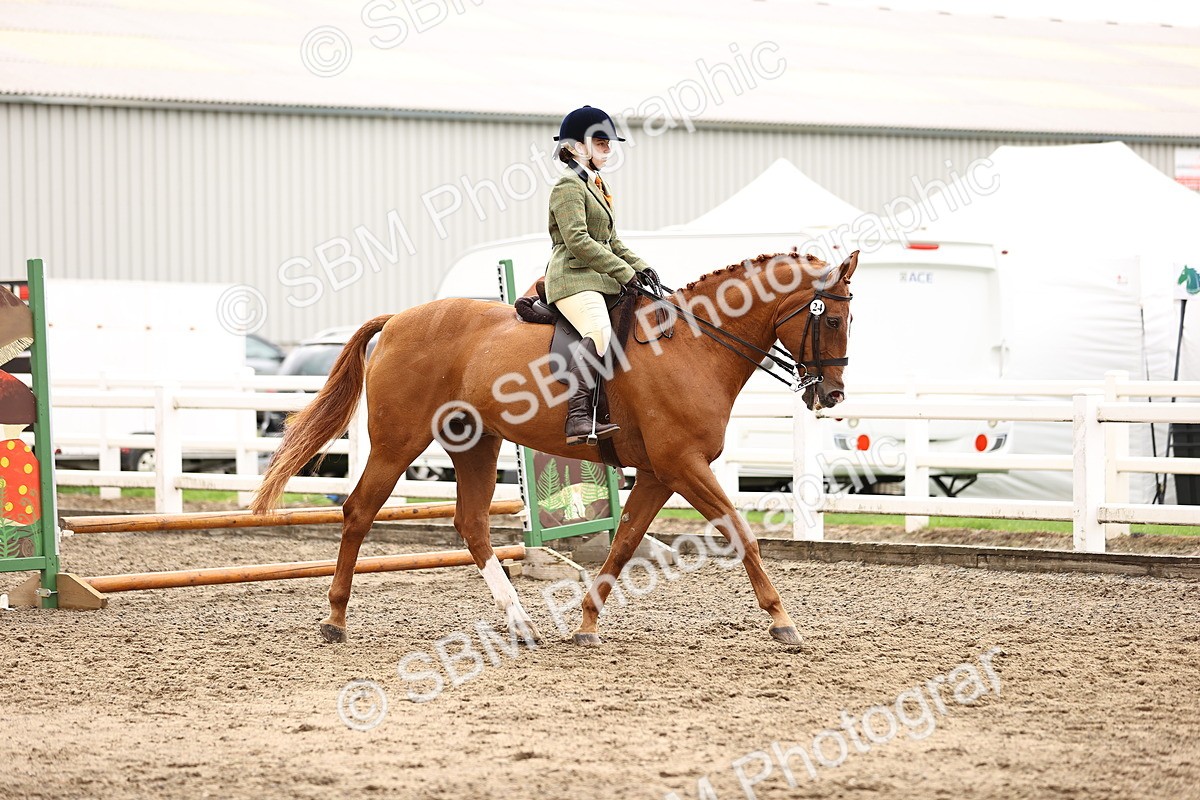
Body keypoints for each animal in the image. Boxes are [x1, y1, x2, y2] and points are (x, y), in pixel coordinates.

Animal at [251, 249, 858, 646]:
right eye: (830, 316)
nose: (830, 395)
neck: (693, 345)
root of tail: (398, 318)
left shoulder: (659, 473)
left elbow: (623, 545)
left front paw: (586, 624)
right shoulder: (682, 465)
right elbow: (742, 533)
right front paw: (782, 622)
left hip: (475, 444)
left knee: (471, 524)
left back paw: (520, 623)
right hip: (397, 443)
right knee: (358, 512)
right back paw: (335, 621)